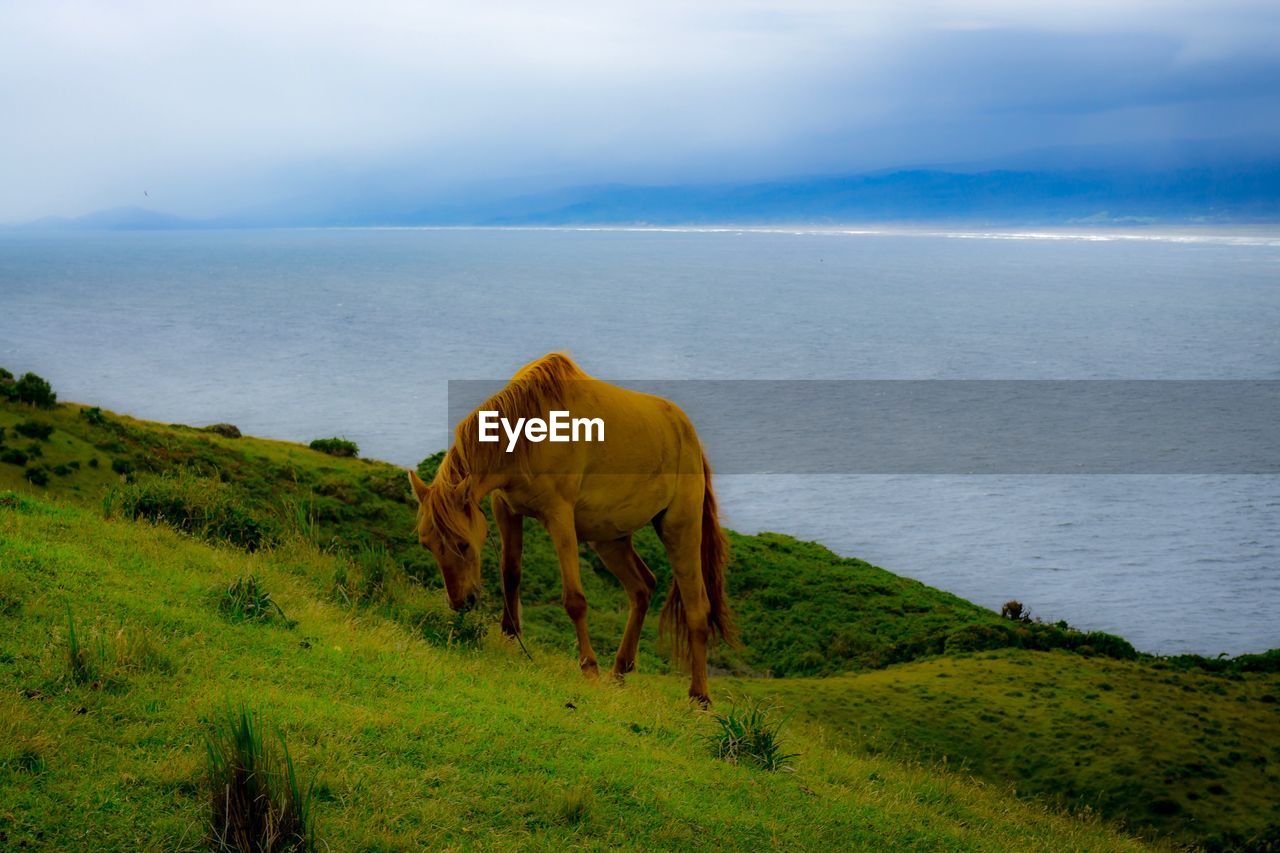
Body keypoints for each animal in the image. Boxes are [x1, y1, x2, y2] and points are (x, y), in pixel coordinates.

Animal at [404, 348, 737, 701]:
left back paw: (699, 696)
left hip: (680, 528)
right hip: (609, 538)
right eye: (427, 545)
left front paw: (589, 668)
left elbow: (575, 599)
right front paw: (509, 636)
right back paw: (619, 672)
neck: (532, 429)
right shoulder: (505, 508)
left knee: (697, 609)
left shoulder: (559, 516)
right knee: (642, 588)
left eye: (463, 544)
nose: (461, 603)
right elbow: (511, 573)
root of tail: (688, 434)